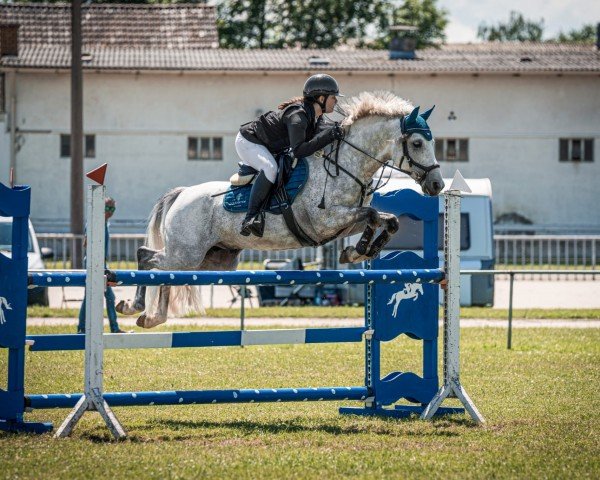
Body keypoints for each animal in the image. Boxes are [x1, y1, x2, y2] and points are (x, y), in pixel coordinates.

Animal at [118, 92, 446, 328]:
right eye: (417, 143)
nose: (437, 185)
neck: (346, 166)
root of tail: (182, 193)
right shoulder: (327, 221)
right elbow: (374, 215)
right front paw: (360, 250)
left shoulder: (343, 222)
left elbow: (388, 221)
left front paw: (357, 251)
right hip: (187, 253)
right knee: (149, 259)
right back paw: (137, 308)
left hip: (213, 259)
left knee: (162, 270)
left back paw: (150, 316)